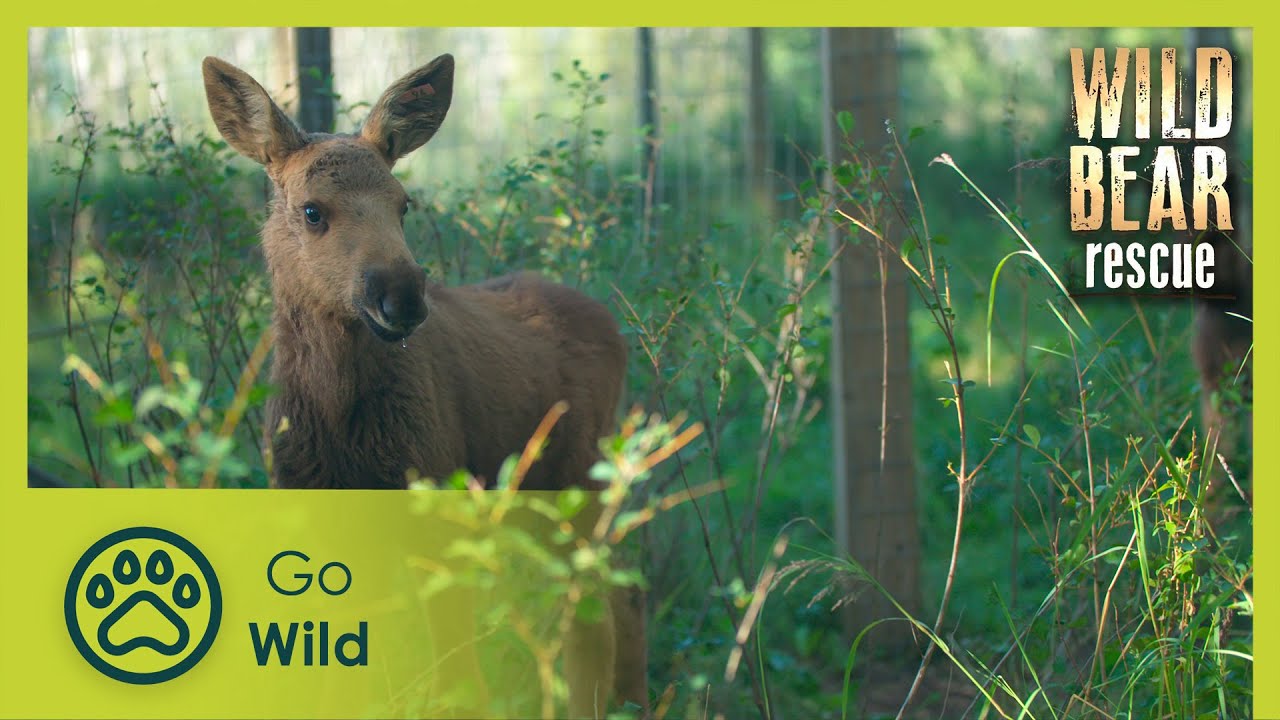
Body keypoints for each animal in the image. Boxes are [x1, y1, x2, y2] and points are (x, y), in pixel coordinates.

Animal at [202, 54, 647, 718]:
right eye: (312, 210)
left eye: (403, 204)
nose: (403, 296)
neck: (339, 420)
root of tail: (614, 326)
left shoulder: (437, 501)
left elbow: (459, 675)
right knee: (620, 592)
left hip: (574, 478)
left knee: (597, 604)